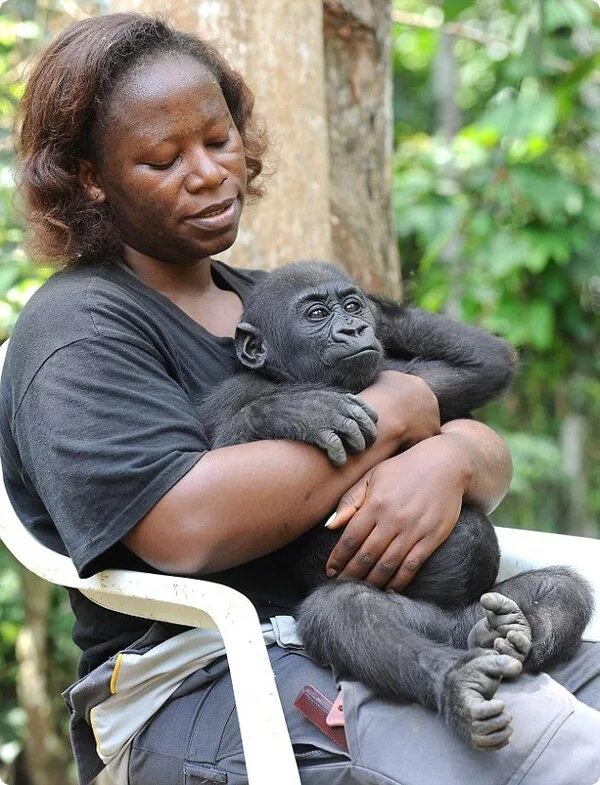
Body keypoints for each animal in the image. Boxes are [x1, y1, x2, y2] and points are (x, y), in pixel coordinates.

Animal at [199, 262, 592, 748]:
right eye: (316, 314)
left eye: (350, 306)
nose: (354, 326)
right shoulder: (231, 395)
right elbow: (223, 486)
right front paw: (298, 411)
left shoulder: (407, 377)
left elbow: (487, 362)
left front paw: (381, 315)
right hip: (421, 623)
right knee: (346, 612)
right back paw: (459, 681)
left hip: (471, 608)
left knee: (561, 589)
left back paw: (509, 636)